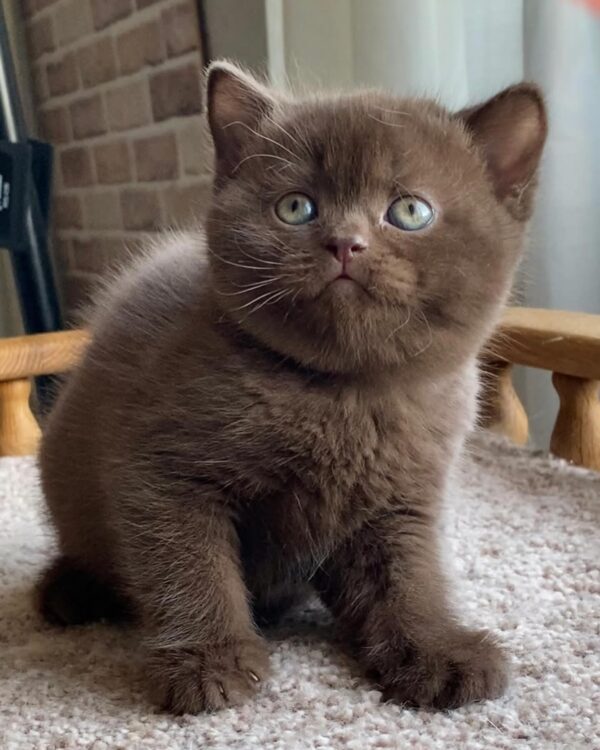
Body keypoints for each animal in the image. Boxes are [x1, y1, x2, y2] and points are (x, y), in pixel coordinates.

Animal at [35, 61, 548, 712]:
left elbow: (410, 577)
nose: (345, 242)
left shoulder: (402, 500)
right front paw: (210, 661)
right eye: (296, 207)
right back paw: (69, 591)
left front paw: (435, 651)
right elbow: (188, 566)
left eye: (410, 211)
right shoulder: (164, 474)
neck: (342, 393)